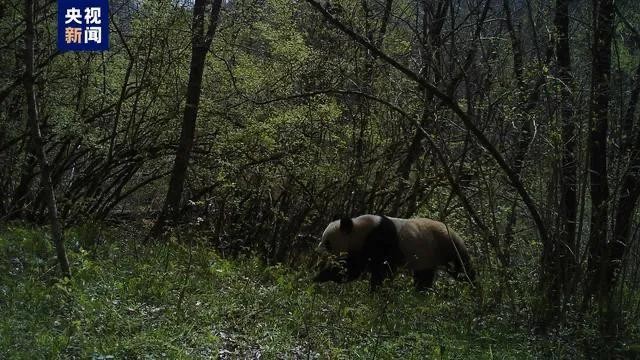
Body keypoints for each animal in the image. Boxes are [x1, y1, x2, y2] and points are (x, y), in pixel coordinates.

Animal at [314, 215, 476, 292]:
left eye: (327, 242)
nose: (317, 252)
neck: (360, 229)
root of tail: (456, 233)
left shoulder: (381, 240)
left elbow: (377, 269)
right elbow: (353, 269)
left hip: (445, 246)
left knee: (462, 269)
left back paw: (473, 289)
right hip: (427, 256)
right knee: (424, 275)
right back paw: (420, 293)